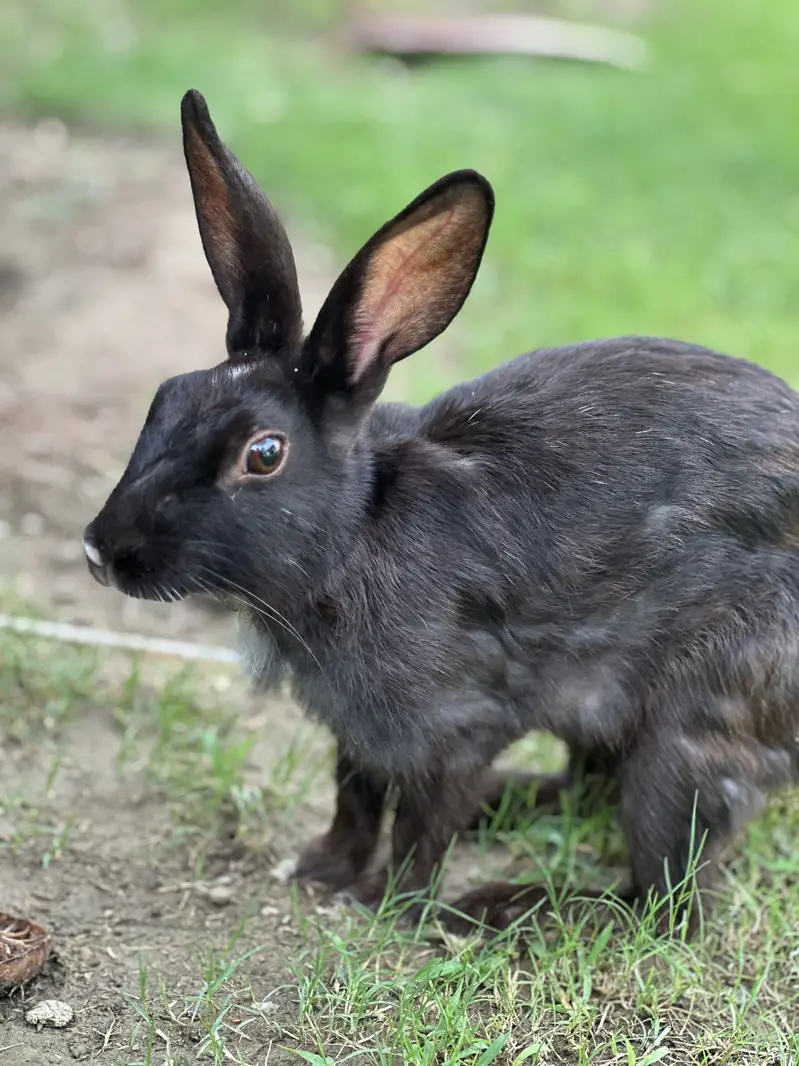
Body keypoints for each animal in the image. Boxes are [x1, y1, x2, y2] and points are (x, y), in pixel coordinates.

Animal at [83, 88, 799, 937]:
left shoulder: (458, 725)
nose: (102, 550)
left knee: (668, 901)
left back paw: (505, 908)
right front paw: (321, 870)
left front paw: (390, 904)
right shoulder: (358, 736)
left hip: (687, 734)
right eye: (166, 397)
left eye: (263, 454)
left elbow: (420, 825)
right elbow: (354, 801)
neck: (351, 538)